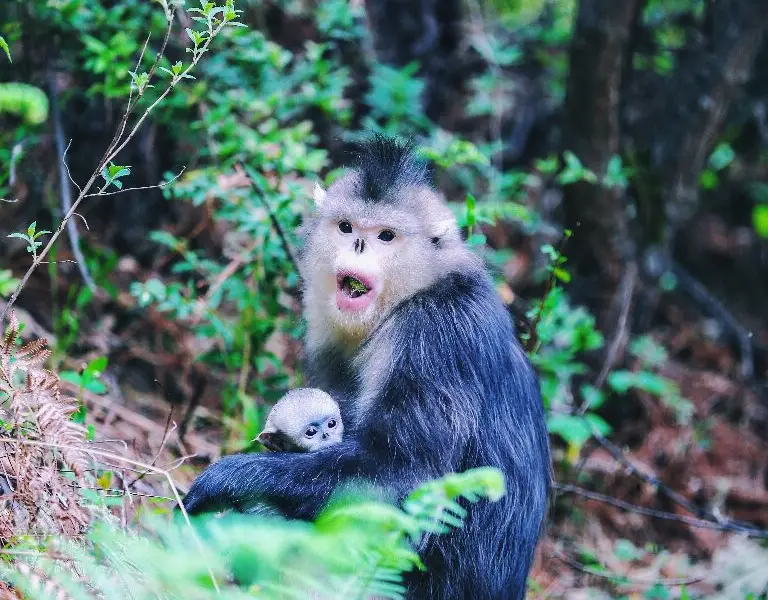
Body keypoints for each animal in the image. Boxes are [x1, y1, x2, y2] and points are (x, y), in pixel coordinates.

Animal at [182, 134, 548, 596]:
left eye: (386, 236)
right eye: (347, 228)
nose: (358, 245)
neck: (409, 296)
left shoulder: (437, 335)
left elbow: (402, 479)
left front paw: (227, 479)